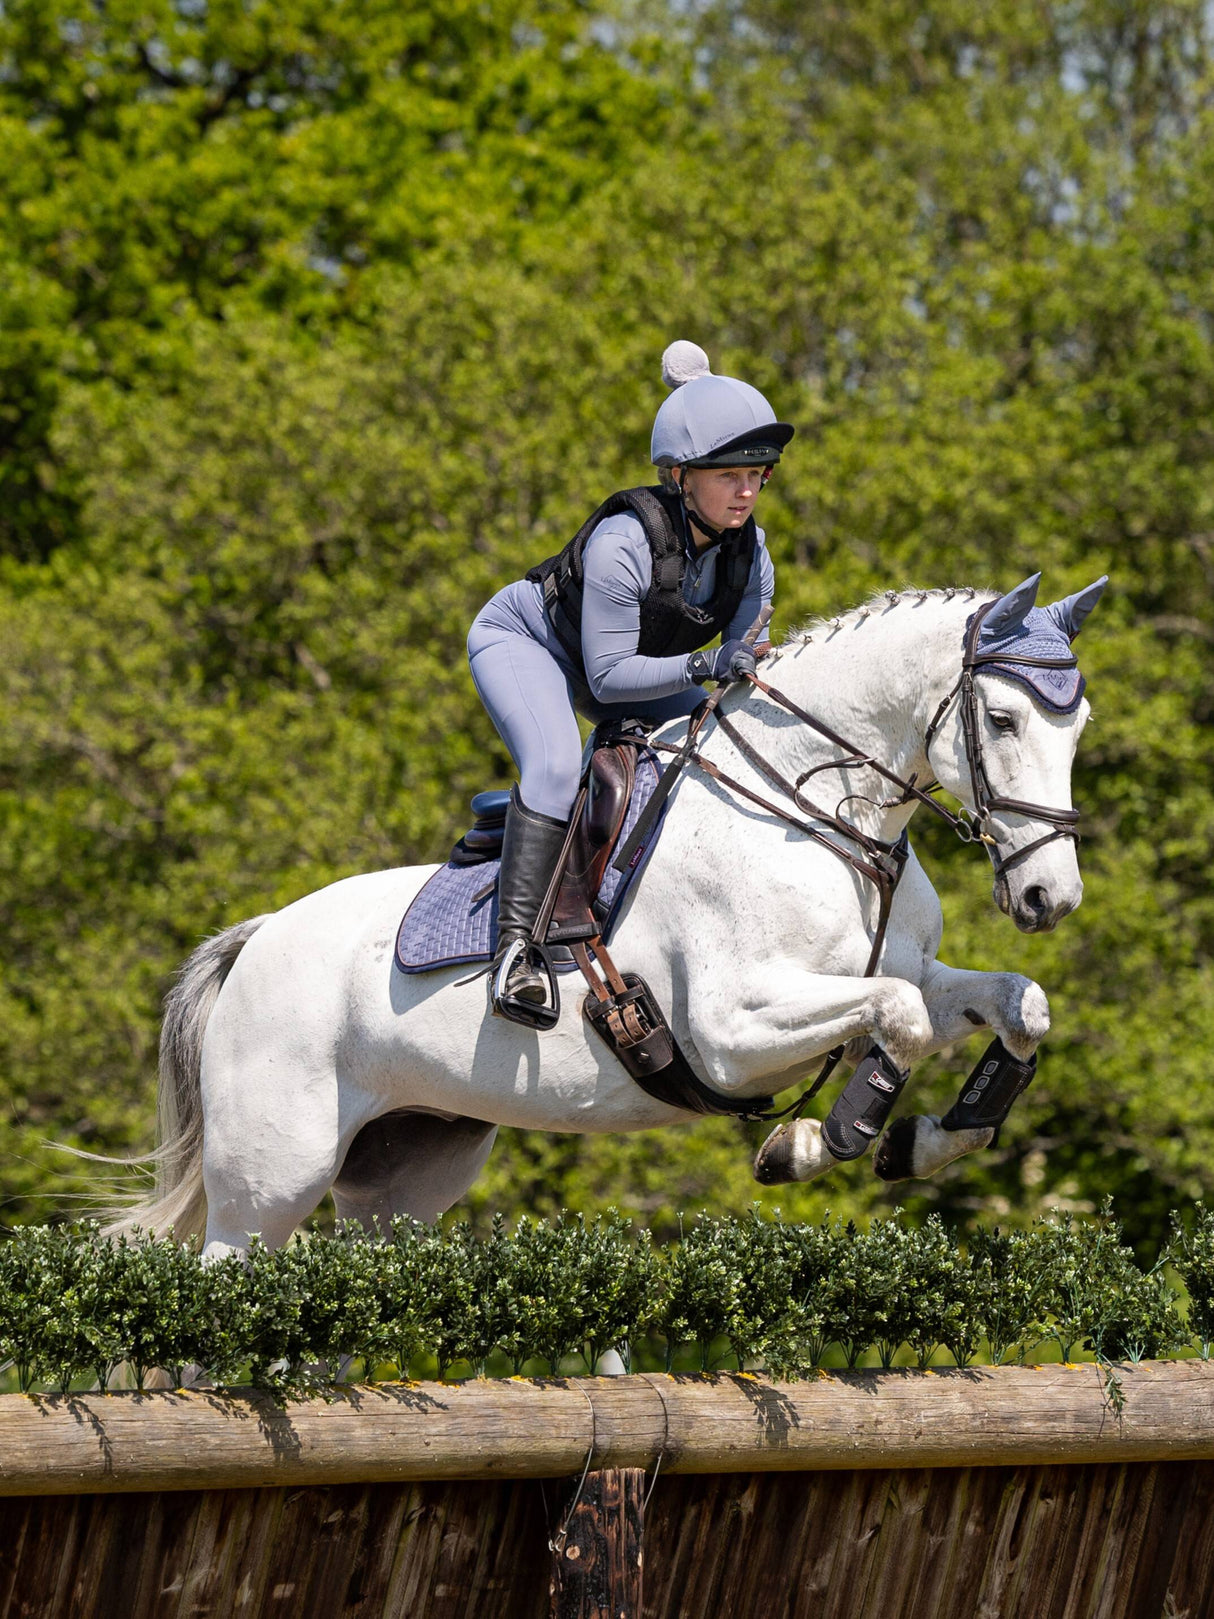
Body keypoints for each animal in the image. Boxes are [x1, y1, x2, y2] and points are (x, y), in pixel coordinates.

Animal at [118, 576, 1107, 1256]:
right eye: (1006, 721)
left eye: (1080, 724)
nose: (1049, 897)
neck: (820, 813)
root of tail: (256, 937)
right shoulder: (731, 1031)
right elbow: (898, 1020)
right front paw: (809, 1144)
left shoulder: (910, 973)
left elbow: (1017, 1004)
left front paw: (921, 1143)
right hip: (270, 1182)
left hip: (401, 1181)